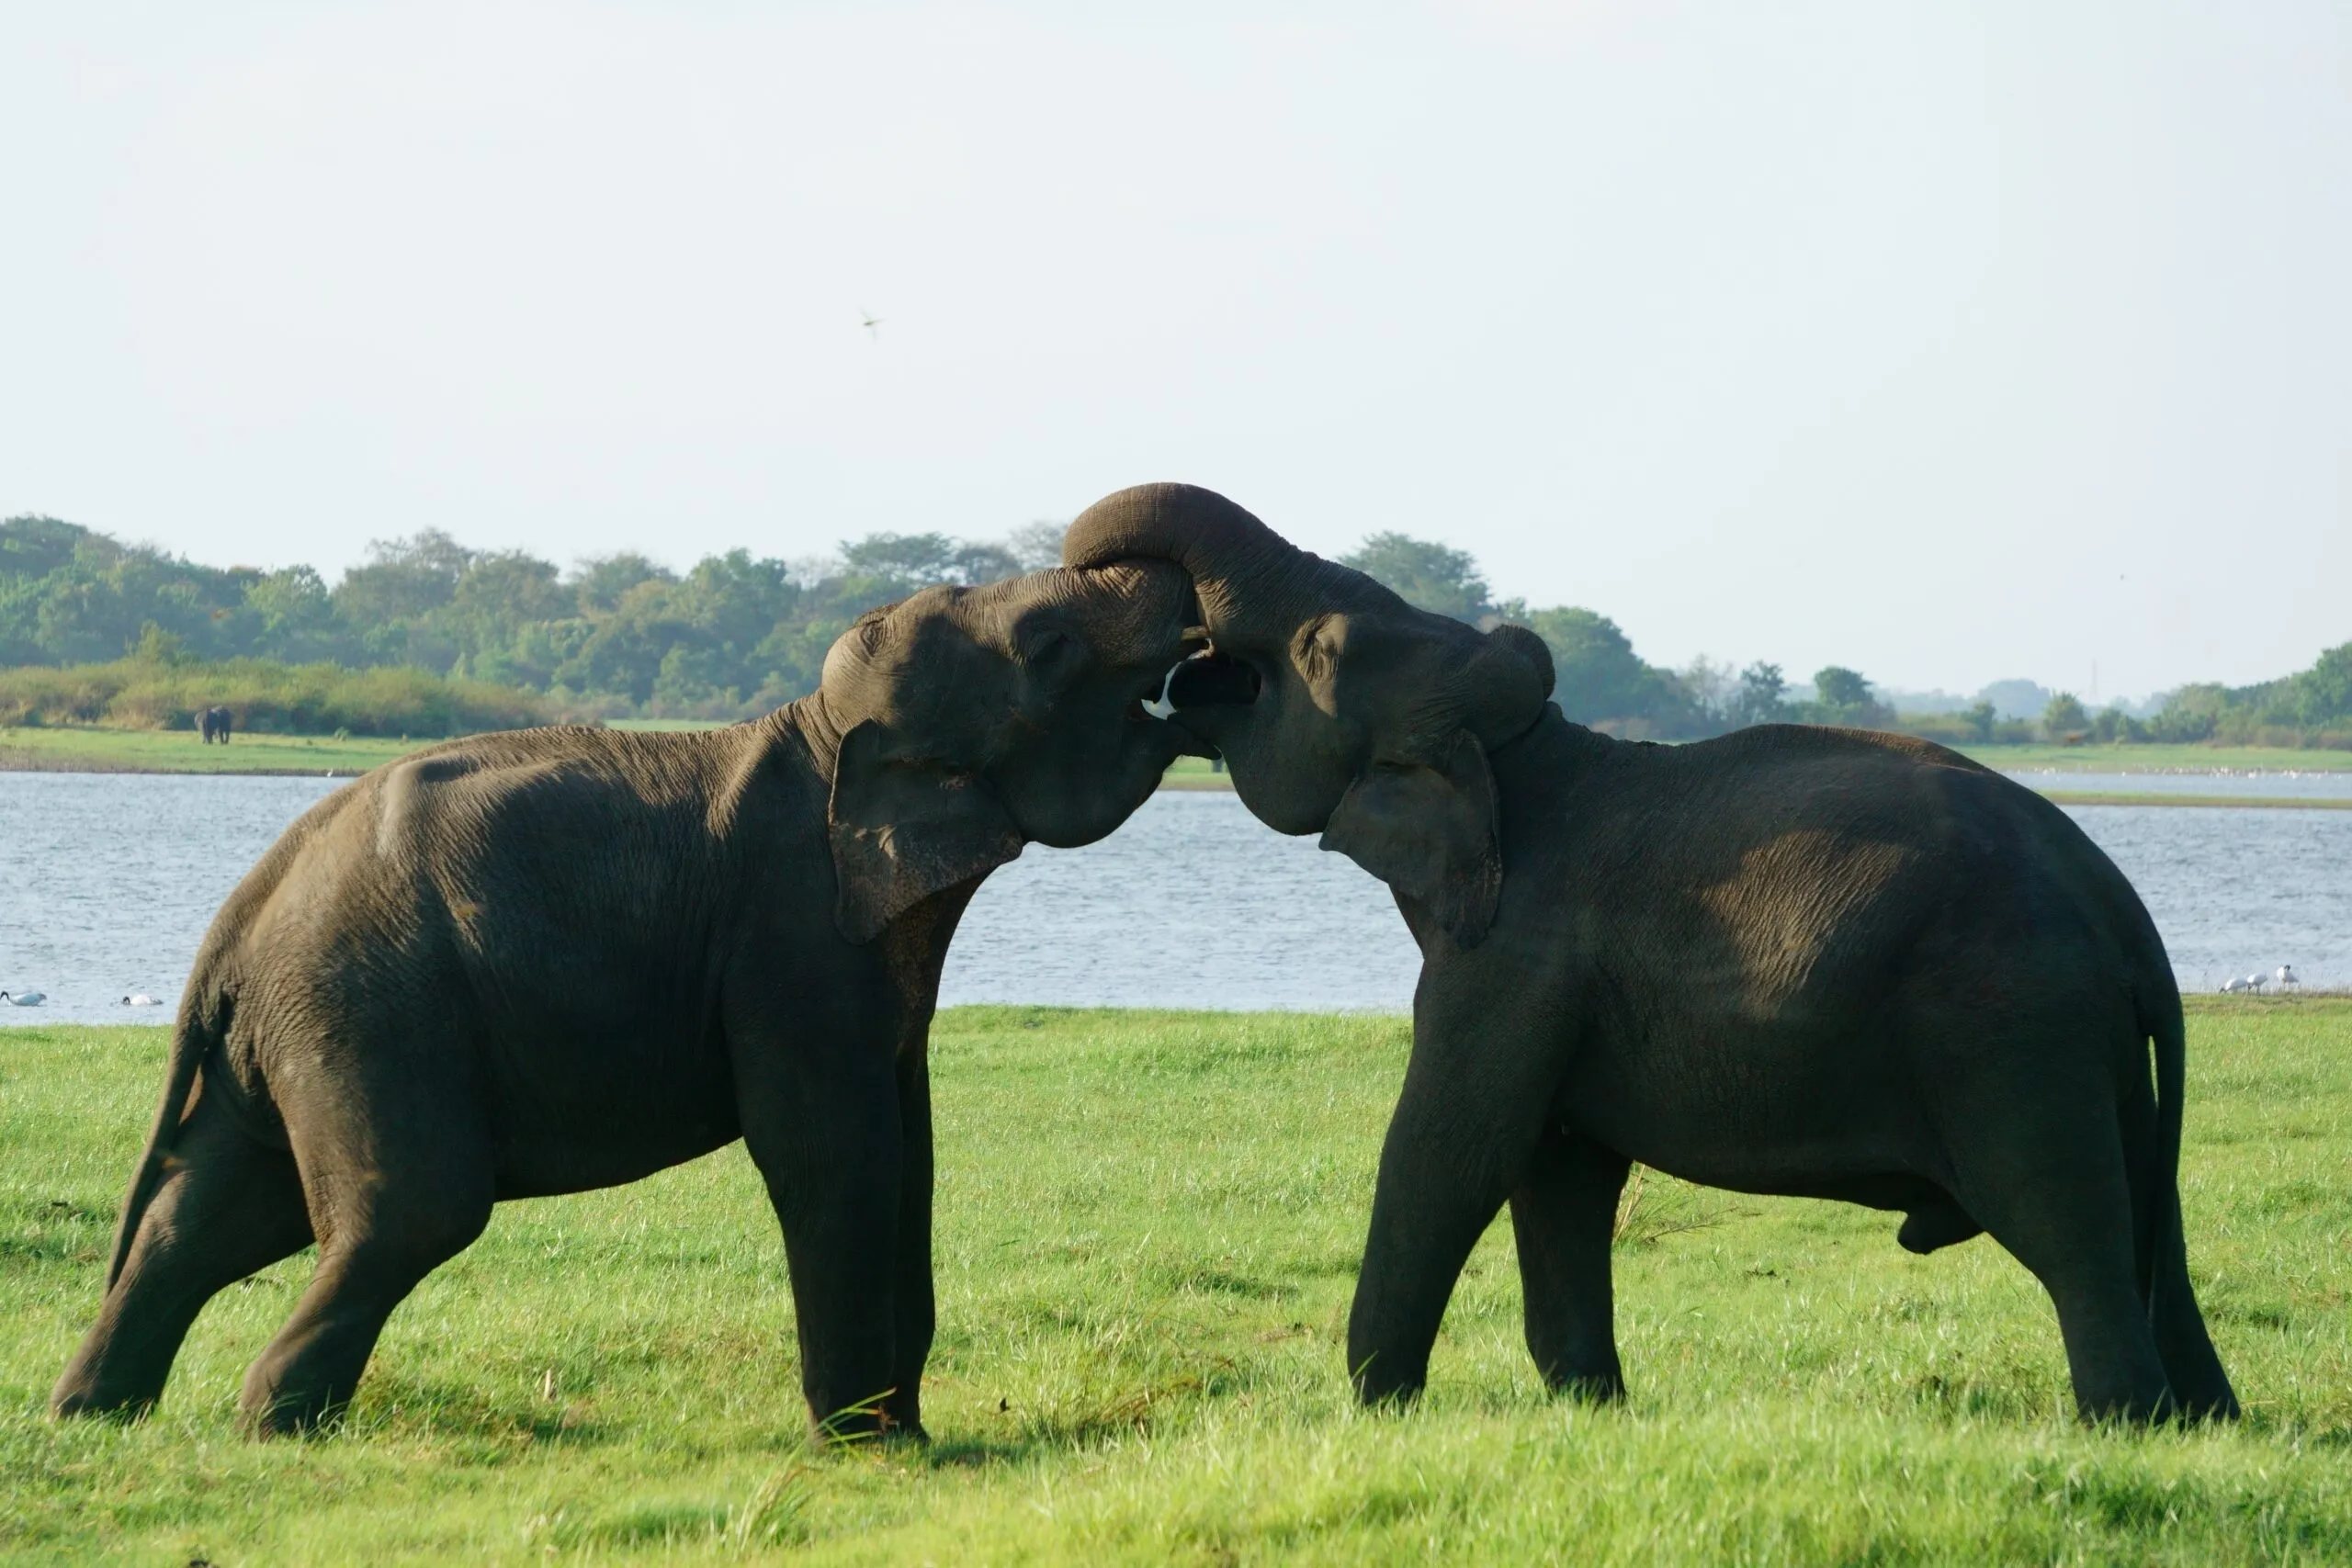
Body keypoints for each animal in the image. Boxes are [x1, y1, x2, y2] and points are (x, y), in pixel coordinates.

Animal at [54, 559, 1207, 1439]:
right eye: (1051, 645)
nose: (1202, 669)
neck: (818, 729)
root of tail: (243, 911)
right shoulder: (790, 936)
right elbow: (832, 1154)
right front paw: (863, 1447)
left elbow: (910, 1156)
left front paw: (905, 1436)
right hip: (369, 1006)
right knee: (408, 1212)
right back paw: (272, 1425)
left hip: (300, 1028)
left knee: (209, 1214)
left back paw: (99, 1414)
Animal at [1066, 483, 2237, 1426]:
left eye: (1322, 653)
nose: (1174, 651)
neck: (1528, 756)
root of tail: (2122, 910)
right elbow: (1558, 1169)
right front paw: (1590, 1409)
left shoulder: (1509, 963)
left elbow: (1450, 1150)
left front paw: (1374, 1409)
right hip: (2094, 1053)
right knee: (2152, 1230)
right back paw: (2203, 1424)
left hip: (2008, 1031)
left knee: (2066, 1228)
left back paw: (2123, 1425)